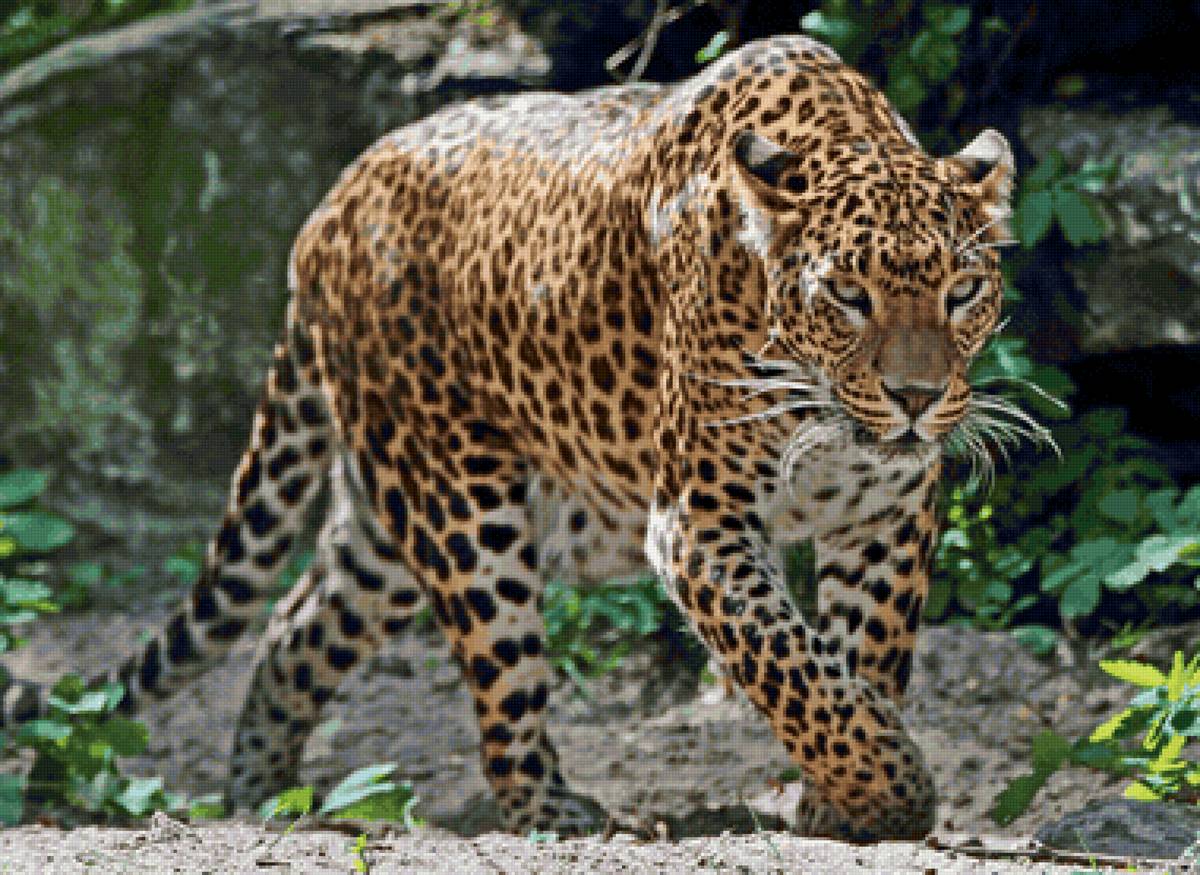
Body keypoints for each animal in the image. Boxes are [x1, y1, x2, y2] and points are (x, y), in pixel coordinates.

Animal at [0, 34, 1032, 842]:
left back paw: (257, 792)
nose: (913, 397)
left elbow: (864, 655)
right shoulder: (698, 525)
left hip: (385, 526)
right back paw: (555, 809)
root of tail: (326, 210)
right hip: (461, 503)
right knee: (502, 687)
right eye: (848, 295)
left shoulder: (887, 510)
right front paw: (894, 789)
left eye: (962, 293)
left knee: (298, 621)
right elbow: (793, 668)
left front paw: (846, 797)